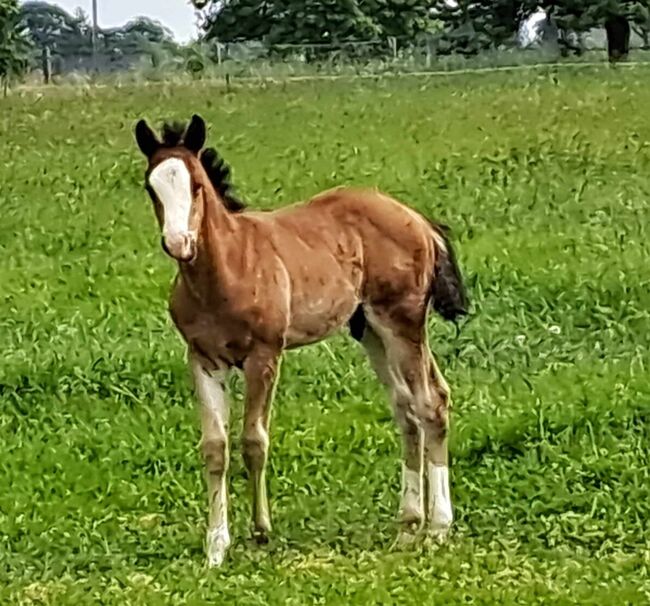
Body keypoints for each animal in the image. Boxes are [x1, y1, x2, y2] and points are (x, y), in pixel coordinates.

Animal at [133, 115, 466, 568]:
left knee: (431, 402)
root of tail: (417, 219)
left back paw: (437, 529)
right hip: (370, 329)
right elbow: (215, 447)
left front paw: (260, 532)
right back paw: (408, 525)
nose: (178, 243)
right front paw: (215, 548)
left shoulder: (264, 355)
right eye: (152, 187)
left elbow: (253, 440)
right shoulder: (203, 359)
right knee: (405, 407)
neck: (227, 269)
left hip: (403, 322)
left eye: (197, 185)